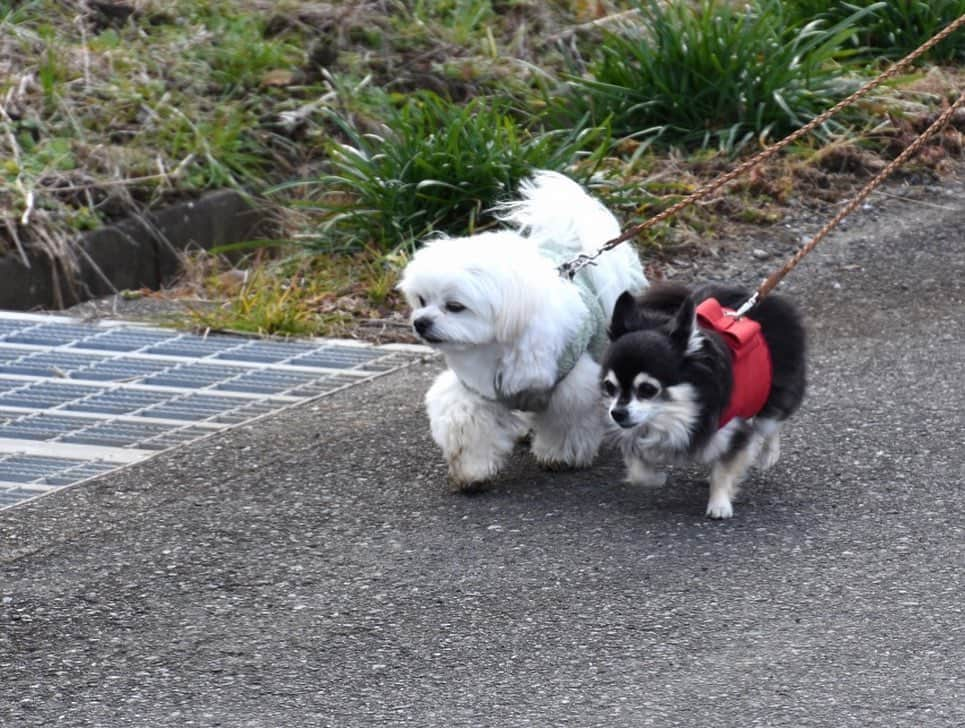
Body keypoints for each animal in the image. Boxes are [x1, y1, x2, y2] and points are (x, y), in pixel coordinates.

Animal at [400, 171, 648, 490]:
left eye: (454, 306)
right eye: (421, 300)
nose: (421, 322)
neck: (495, 347)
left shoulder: (571, 388)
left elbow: (566, 424)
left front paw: (560, 457)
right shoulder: (473, 393)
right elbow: (469, 428)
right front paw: (472, 472)